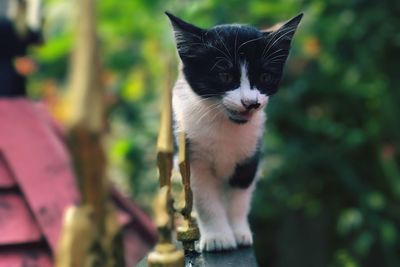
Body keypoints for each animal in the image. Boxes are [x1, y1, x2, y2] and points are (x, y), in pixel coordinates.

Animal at [166, 11, 304, 252]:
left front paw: (239, 232)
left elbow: (240, 195)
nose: (251, 103)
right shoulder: (191, 153)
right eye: (225, 76)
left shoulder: (251, 154)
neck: (226, 125)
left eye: (265, 77)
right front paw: (218, 237)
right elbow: (204, 197)